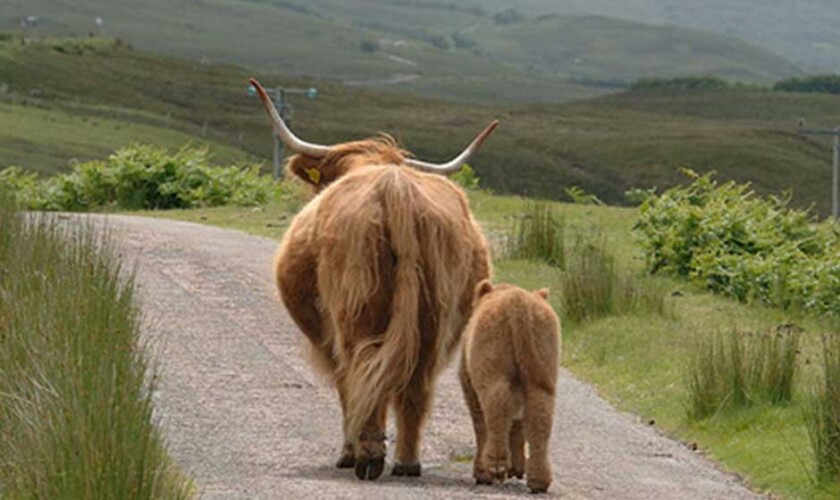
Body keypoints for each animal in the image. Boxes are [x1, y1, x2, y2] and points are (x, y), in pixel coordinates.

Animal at [250, 78, 497, 481]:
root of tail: (395, 188)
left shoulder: (328, 339)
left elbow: (345, 385)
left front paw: (348, 453)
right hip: (435, 315)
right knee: (415, 383)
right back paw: (407, 463)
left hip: (356, 308)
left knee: (363, 368)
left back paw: (365, 456)